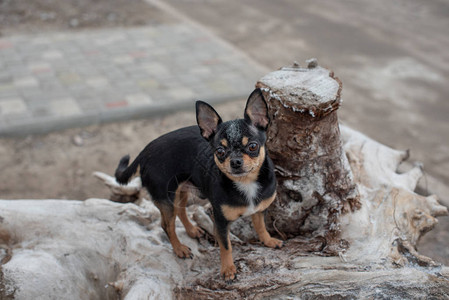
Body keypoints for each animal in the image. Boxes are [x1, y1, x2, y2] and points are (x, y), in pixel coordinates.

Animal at [115, 89, 284, 282]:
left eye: (253, 146)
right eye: (220, 151)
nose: (235, 161)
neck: (246, 182)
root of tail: (145, 151)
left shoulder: (259, 210)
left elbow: (261, 226)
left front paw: (268, 241)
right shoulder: (220, 221)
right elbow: (226, 246)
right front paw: (228, 269)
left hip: (181, 190)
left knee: (180, 211)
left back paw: (192, 230)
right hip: (166, 197)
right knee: (167, 225)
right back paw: (179, 249)